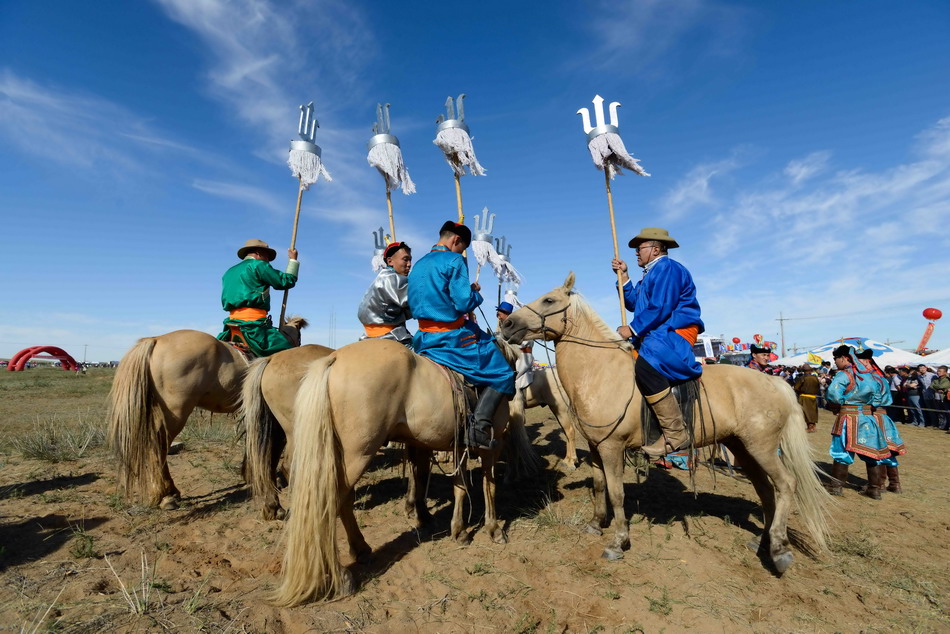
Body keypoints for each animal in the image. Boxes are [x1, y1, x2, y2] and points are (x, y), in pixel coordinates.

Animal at [268, 338, 512, 604]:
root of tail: (334, 359)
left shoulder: (452, 446)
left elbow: (453, 485)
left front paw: (455, 528)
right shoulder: (493, 446)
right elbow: (489, 486)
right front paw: (493, 529)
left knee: (343, 501)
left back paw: (360, 549)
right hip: (357, 454)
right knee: (329, 502)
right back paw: (340, 575)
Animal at [502, 272, 828, 572]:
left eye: (548, 300)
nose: (507, 325)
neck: (600, 371)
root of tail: (776, 382)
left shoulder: (611, 448)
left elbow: (617, 494)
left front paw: (618, 541)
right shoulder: (596, 447)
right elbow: (598, 486)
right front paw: (596, 523)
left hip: (762, 447)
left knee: (786, 484)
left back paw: (779, 549)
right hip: (743, 448)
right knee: (765, 490)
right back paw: (761, 541)